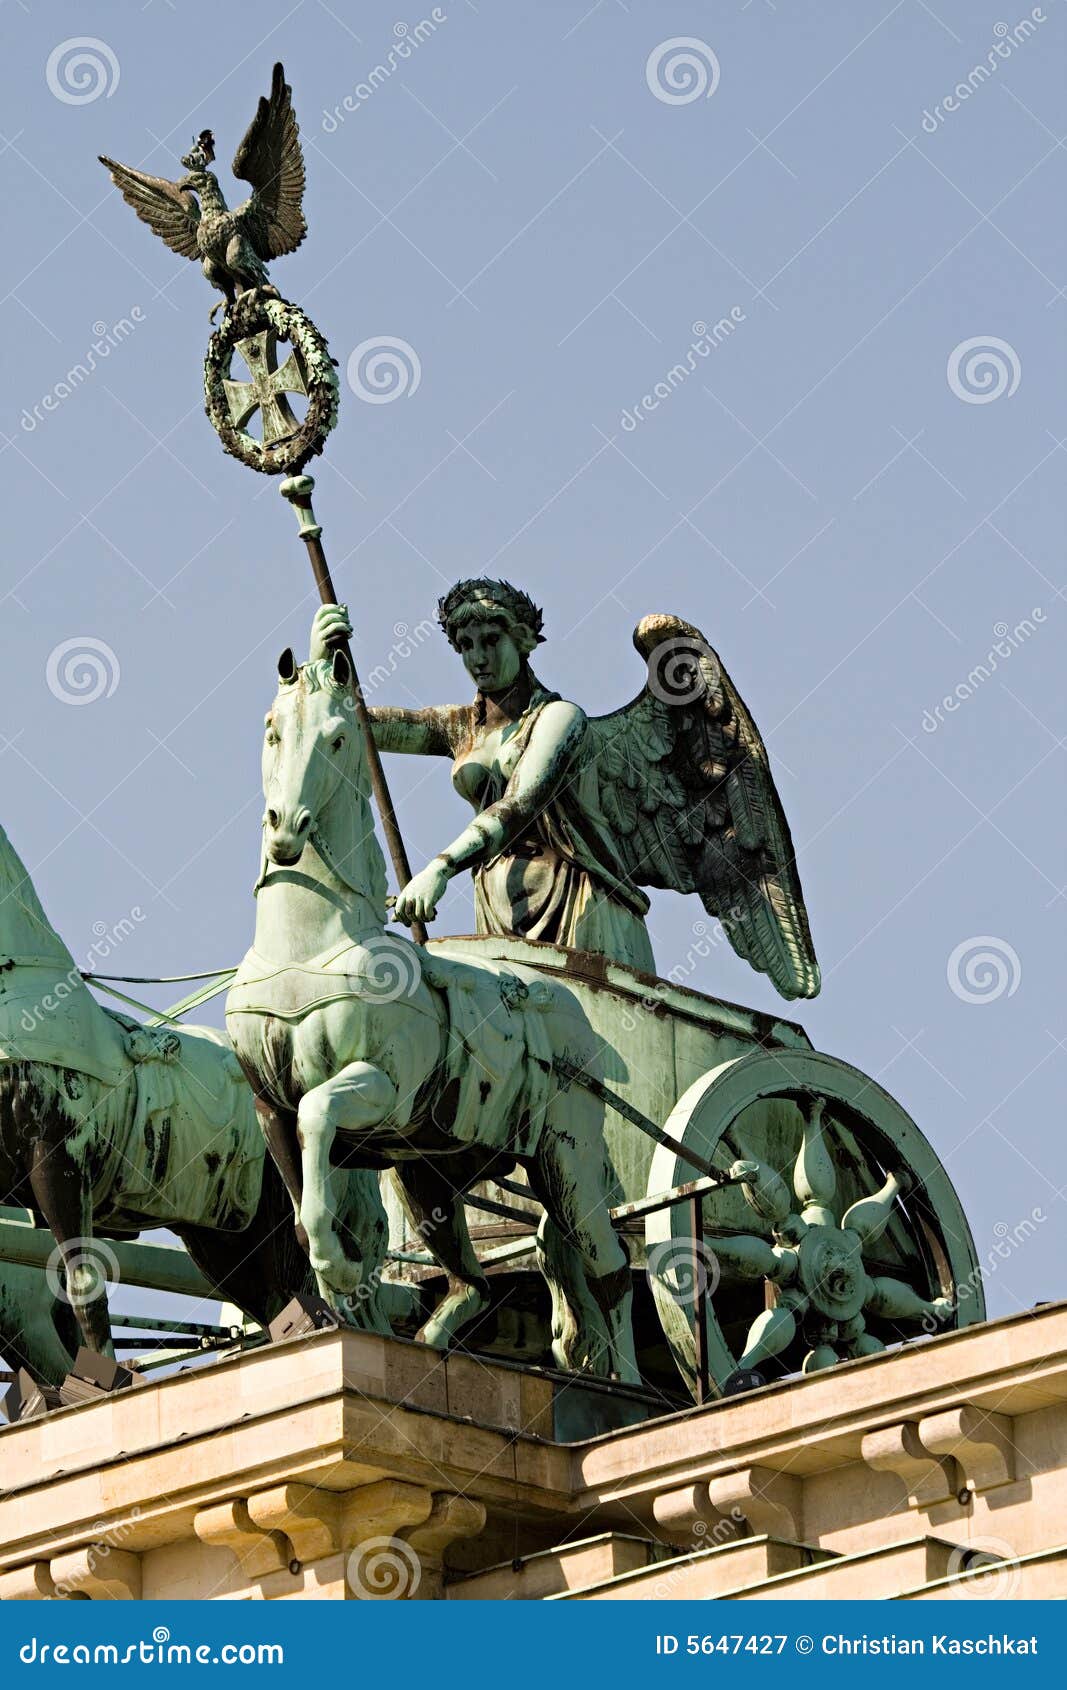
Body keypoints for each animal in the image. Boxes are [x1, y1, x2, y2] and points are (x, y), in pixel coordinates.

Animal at [226, 638, 639, 1379]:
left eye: (338, 738)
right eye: (272, 731)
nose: (285, 830)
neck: (306, 947)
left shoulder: (382, 1091)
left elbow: (318, 1112)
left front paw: (337, 1267)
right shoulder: (268, 1104)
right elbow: (300, 1200)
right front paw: (334, 1282)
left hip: (567, 1157)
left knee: (608, 1267)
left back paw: (631, 1385)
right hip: (426, 1177)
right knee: (476, 1283)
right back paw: (432, 1345)